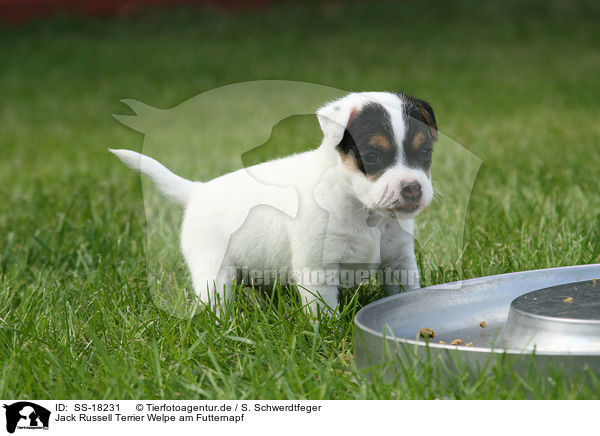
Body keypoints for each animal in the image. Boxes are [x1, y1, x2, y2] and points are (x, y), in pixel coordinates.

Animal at [112, 91, 438, 314]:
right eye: (371, 156)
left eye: (425, 153)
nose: (412, 189)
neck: (363, 211)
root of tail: (197, 191)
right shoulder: (317, 269)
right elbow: (324, 311)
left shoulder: (399, 262)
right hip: (214, 274)